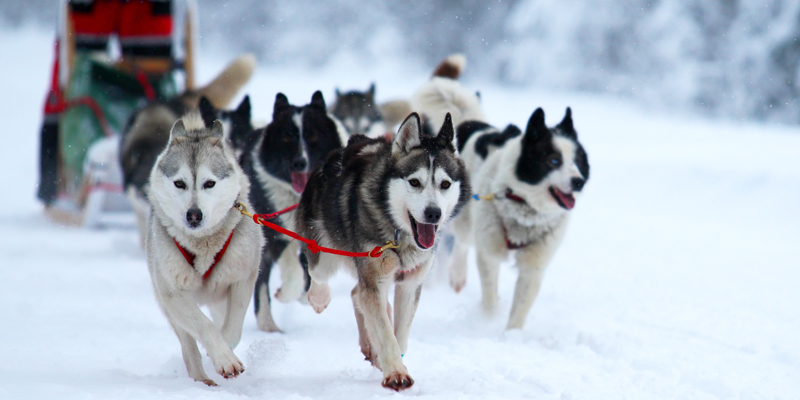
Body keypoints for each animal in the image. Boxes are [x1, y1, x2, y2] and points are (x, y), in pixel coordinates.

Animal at [145, 111, 264, 384]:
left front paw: (225, 350)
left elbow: (232, 329)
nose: (194, 215)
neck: (203, 245)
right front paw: (224, 358)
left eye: (209, 183)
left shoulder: (243, 279)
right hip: (169, 307)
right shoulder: (173, 294)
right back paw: (202, 380)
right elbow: (204, 327)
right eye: (179, 183)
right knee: (189, 346)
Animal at [241, 92, 346, 332]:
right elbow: (292, 271)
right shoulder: (274, 235)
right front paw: (289, 292)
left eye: (312, 136)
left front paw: (308, 295)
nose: (300, 162)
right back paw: (269, 325)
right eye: (287, 137)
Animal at [296, 112, 468, 390]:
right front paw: (396, 373)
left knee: (358, 294)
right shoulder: (375, 278)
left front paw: (393, 360)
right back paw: (320, 298)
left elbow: (399, 333)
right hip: (325, 251)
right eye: (415, 182)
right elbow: (386, 333)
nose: (433, 213)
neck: (400, 236)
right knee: (322, 276)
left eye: (445, 184)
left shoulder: (409, 284)